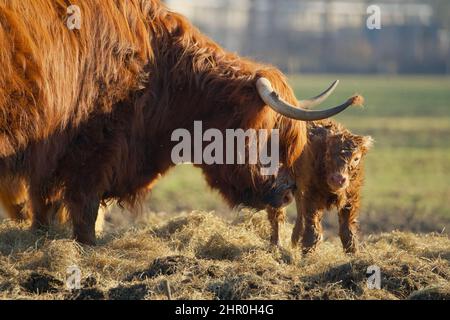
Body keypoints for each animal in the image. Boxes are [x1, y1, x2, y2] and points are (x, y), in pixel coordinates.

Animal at [0, 1, 358, 244]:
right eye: (267, 133)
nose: (288, 191)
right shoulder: (92, 150)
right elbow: (85, 215)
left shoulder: (48, 162)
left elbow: (43, 213)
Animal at [268, 119, 372, 254]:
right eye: (327, 155)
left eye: (356, 158)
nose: (338, 179)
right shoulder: (312, 194)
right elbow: (314, 230)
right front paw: (307, 254)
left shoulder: (351, 196)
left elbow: (347, 229)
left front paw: (353, 253)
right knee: (277, 212)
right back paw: (276, 246)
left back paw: (294, 240)